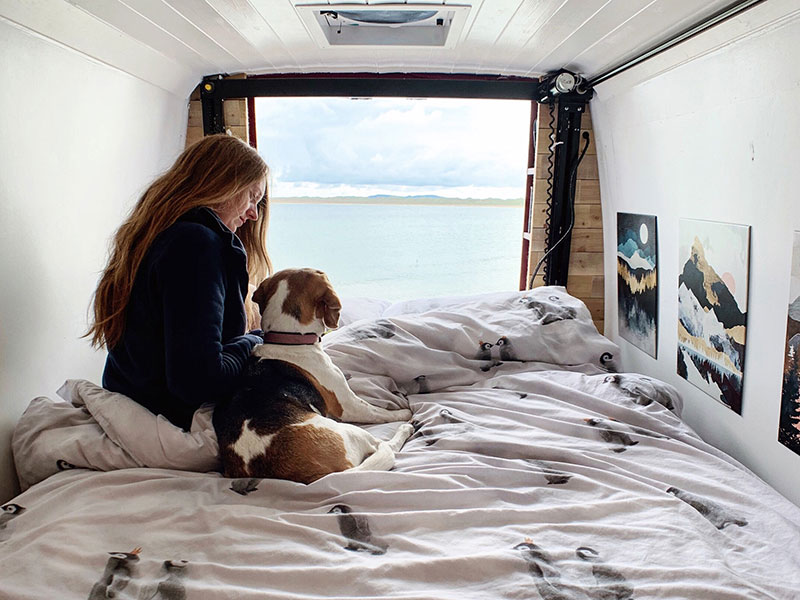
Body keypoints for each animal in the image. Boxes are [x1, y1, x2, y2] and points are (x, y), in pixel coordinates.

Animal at [212, 268, 412, 482]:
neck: (287, 339)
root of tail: (319, 476)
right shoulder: (348, 406)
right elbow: (379, 412)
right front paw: (403, 412)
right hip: (351, 431)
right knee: (385, 447)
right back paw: (406, 428)